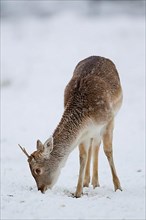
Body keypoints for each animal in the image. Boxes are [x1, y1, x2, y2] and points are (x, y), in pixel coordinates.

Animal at [18, 55, 122, 199]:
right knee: (94, 146)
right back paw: (89, 182)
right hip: (92, 133)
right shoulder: (83, 133)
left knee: (97, 145)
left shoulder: (109, 120)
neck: (87, 116)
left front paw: (118, 187)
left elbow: (108, 151)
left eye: (37, 170)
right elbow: (82, 156)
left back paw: (95, 183)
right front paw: (78, 192)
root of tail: (100, 56)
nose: (41, 189)